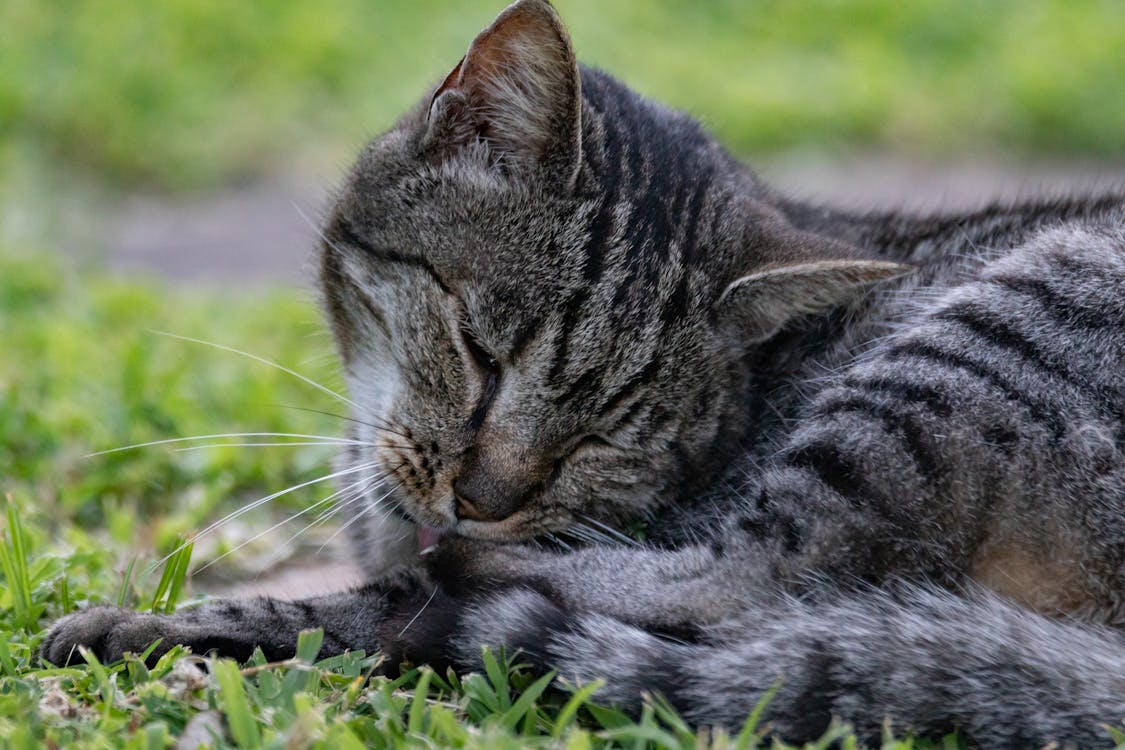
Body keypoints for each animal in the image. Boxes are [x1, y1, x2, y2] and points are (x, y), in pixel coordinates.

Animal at [41, 2, 1125, 746]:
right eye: (481, 354)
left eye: (604, 434)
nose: (481, 503)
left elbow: (322, 609)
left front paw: (131, 624)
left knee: (750, 580)